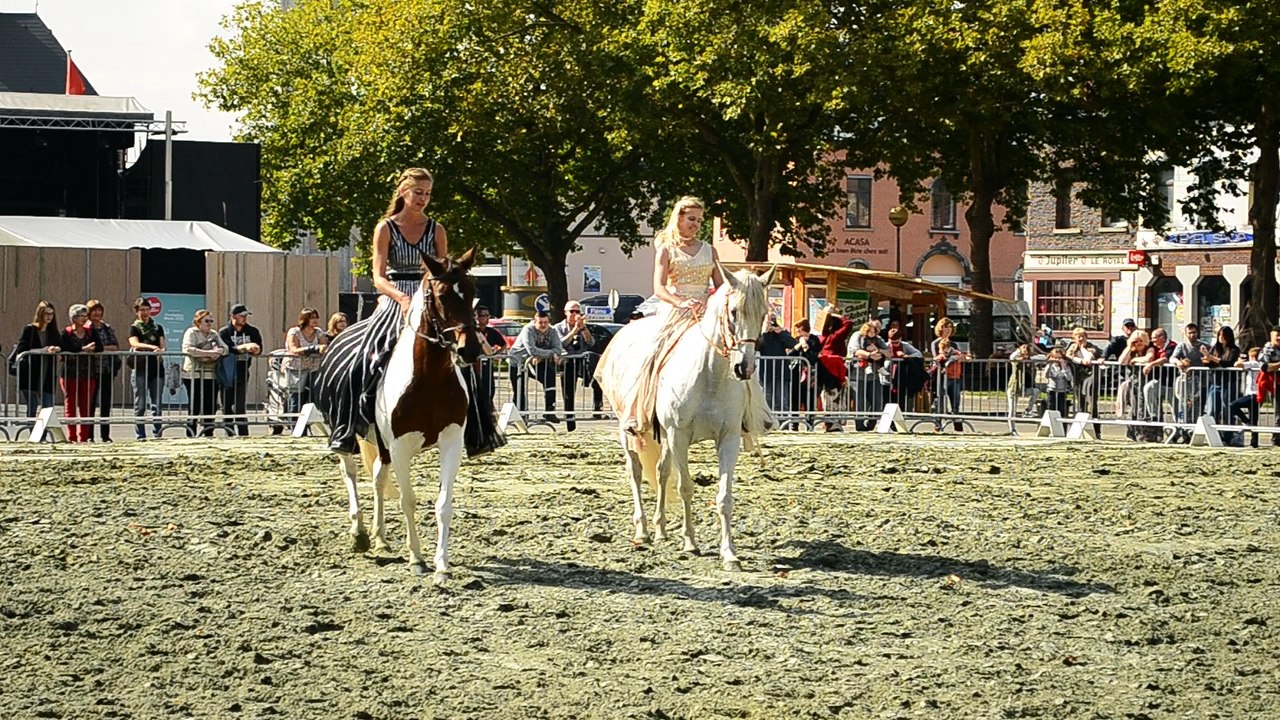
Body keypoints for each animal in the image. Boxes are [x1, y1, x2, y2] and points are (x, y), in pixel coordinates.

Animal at [332, 249, 483, 582]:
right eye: (441, 295)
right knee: (350, 473)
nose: (469, 351)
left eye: (472, 292)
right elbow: (408, 500)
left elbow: (444, 504)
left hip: (383, 446)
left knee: (377, 476)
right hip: (346, 437)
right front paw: (416, 557)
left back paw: (379, 538)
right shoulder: (400, 446)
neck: (429, 379)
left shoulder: (451, 442)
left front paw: (442, 563)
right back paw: (358, 533)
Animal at [599, 266, 774, 571]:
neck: (710, 374)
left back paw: (660, 529)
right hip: (629, 430)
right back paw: (642, 530)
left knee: (661, 471)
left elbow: (724, 497)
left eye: (763, 313)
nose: (745, 368)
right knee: (635, 472)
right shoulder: (678, 435)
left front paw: (729, 554)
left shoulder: (728, 439)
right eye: (734, 312)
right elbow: (685, 488)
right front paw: (690, 543)